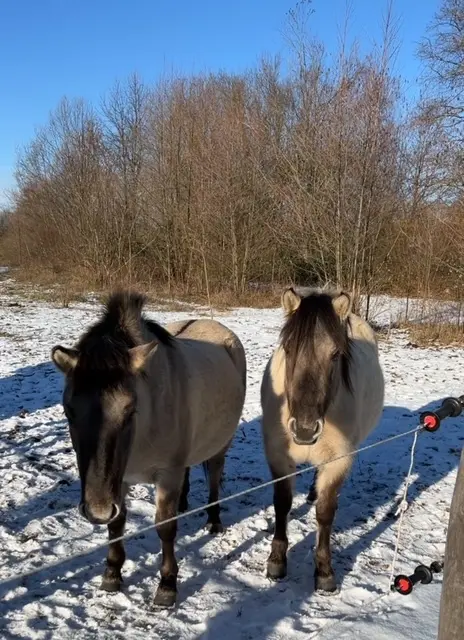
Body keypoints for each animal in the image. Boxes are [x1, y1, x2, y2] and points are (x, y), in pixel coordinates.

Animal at [51, 291, 246, 608]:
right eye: (69, 411)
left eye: (130, 410)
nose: (97, 510)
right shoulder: (118, 479)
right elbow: (117, 523)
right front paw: (112, 573)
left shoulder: (166, 476)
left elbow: (165, 527)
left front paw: (167, 585)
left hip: (220, 445)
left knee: (215, 475)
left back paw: (214, 520)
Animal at [260, 287, 384, 593]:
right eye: (288, 348)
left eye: (335, 354)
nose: (305, 430)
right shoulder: (278, 456)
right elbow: (282, 504)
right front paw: (277, 561)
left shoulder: (338, 461)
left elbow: (325, 513)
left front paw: (325, 572)